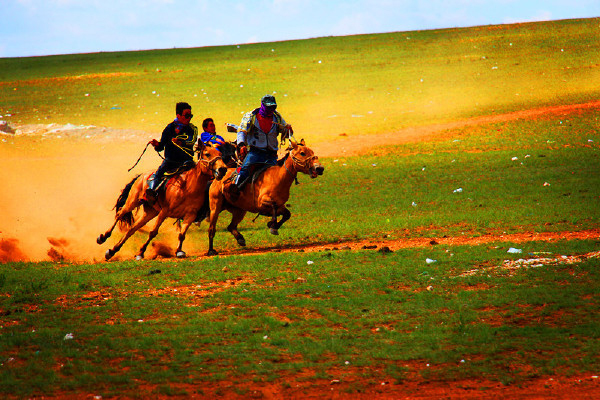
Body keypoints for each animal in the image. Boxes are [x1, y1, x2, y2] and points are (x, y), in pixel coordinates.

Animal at [96, 142, 227, 260]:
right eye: (207, 154)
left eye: (220, 154)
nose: (223, 169)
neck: (188, 186)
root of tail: (141, 175)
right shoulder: (164, 212)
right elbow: (153, 232)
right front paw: (140, 253)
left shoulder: (190, 215)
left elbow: (181, 234)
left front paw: (179, 251)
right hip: (132, 202)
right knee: (119, 214)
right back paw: (103, 237)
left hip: (150, 212)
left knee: (132, 229)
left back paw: (112, 251)